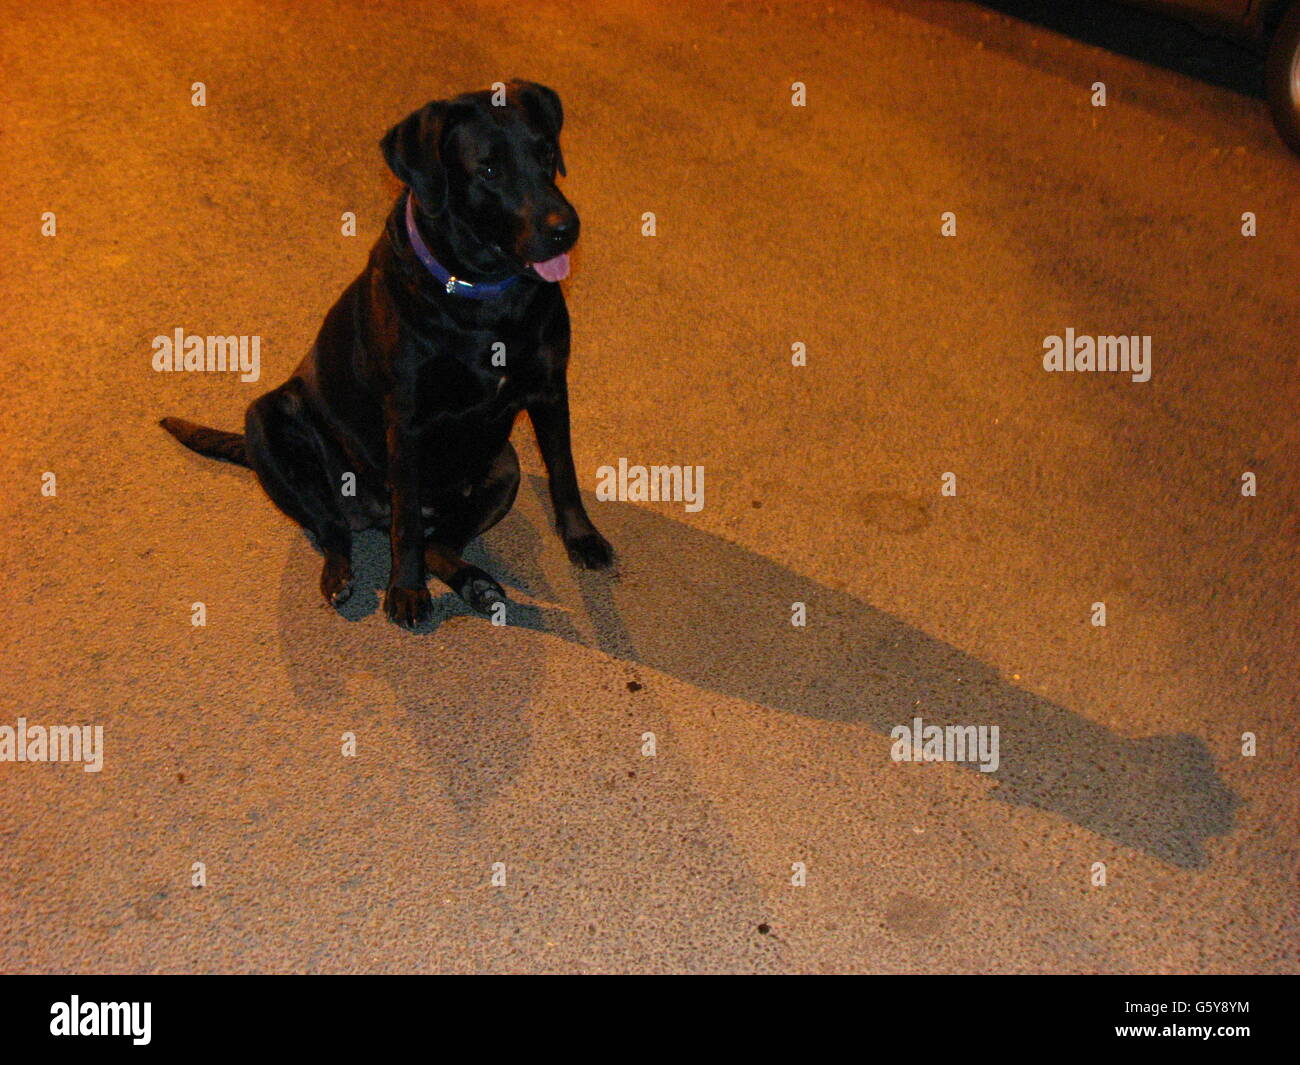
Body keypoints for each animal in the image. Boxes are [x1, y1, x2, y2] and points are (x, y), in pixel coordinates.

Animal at [161, 85, 608, 631]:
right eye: (488, 170)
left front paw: (582, 537)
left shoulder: (548, 389)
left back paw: (477, 585)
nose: (567, 228)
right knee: (336, 529)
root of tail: (370, 511)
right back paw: (341, 575)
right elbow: (406, 526)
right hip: (266, 423)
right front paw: (407, 590)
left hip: (504, 467)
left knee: (438, 542)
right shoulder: (408, 421)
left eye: (546, 152)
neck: (484, 296)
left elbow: (564, 472)